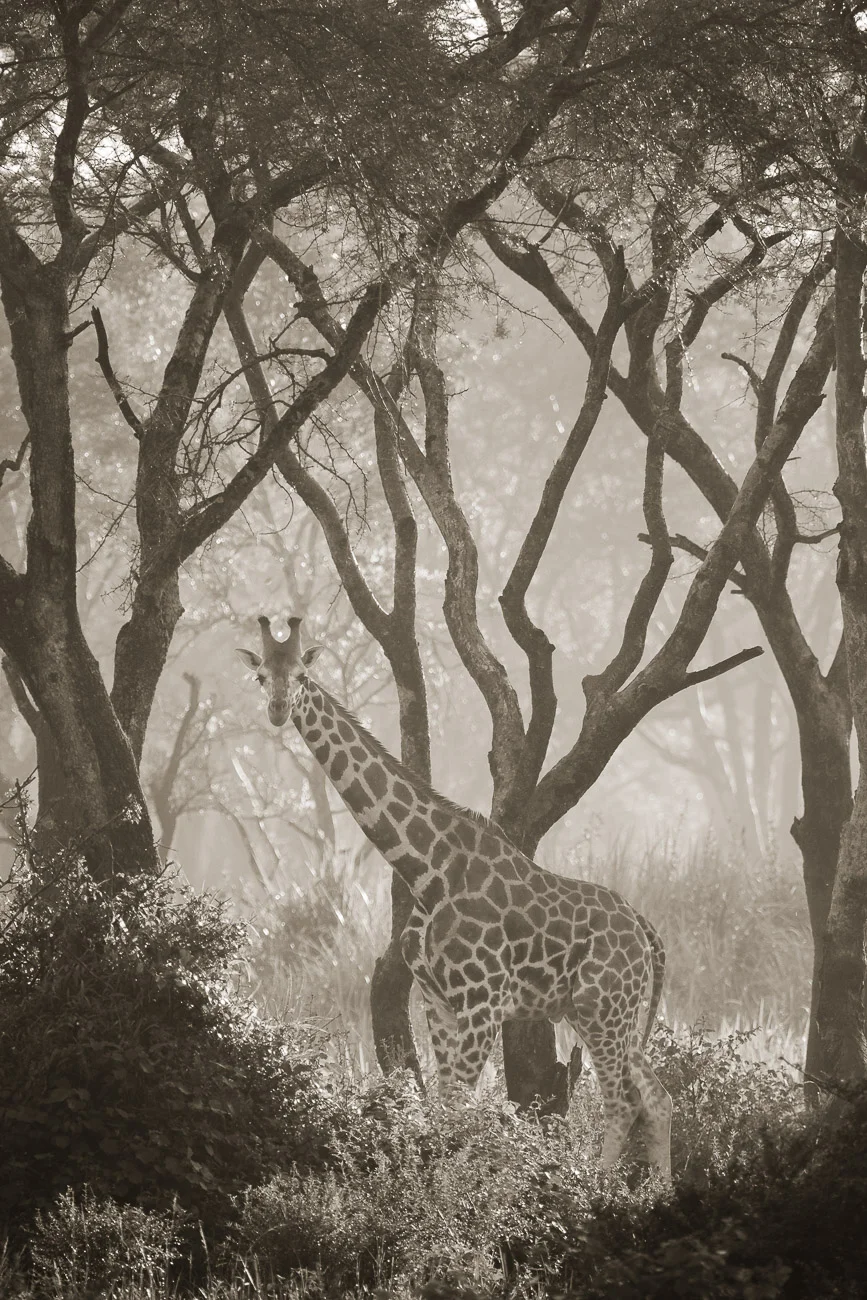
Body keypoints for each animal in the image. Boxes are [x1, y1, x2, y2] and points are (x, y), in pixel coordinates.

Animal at [237, 615, 672, 1181]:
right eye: (261, 676)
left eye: (303, 677)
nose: (277, 709)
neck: (429, 870)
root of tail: (644, 928)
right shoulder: (438, 1001)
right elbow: (445, 1108)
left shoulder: (482, 1002)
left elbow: (462, 1110)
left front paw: (459, 1192)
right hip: (598, 1010)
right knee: (658, 1096)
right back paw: (656, 1193)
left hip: (605, 1008)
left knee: (622, 1100)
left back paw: (599, 1188)